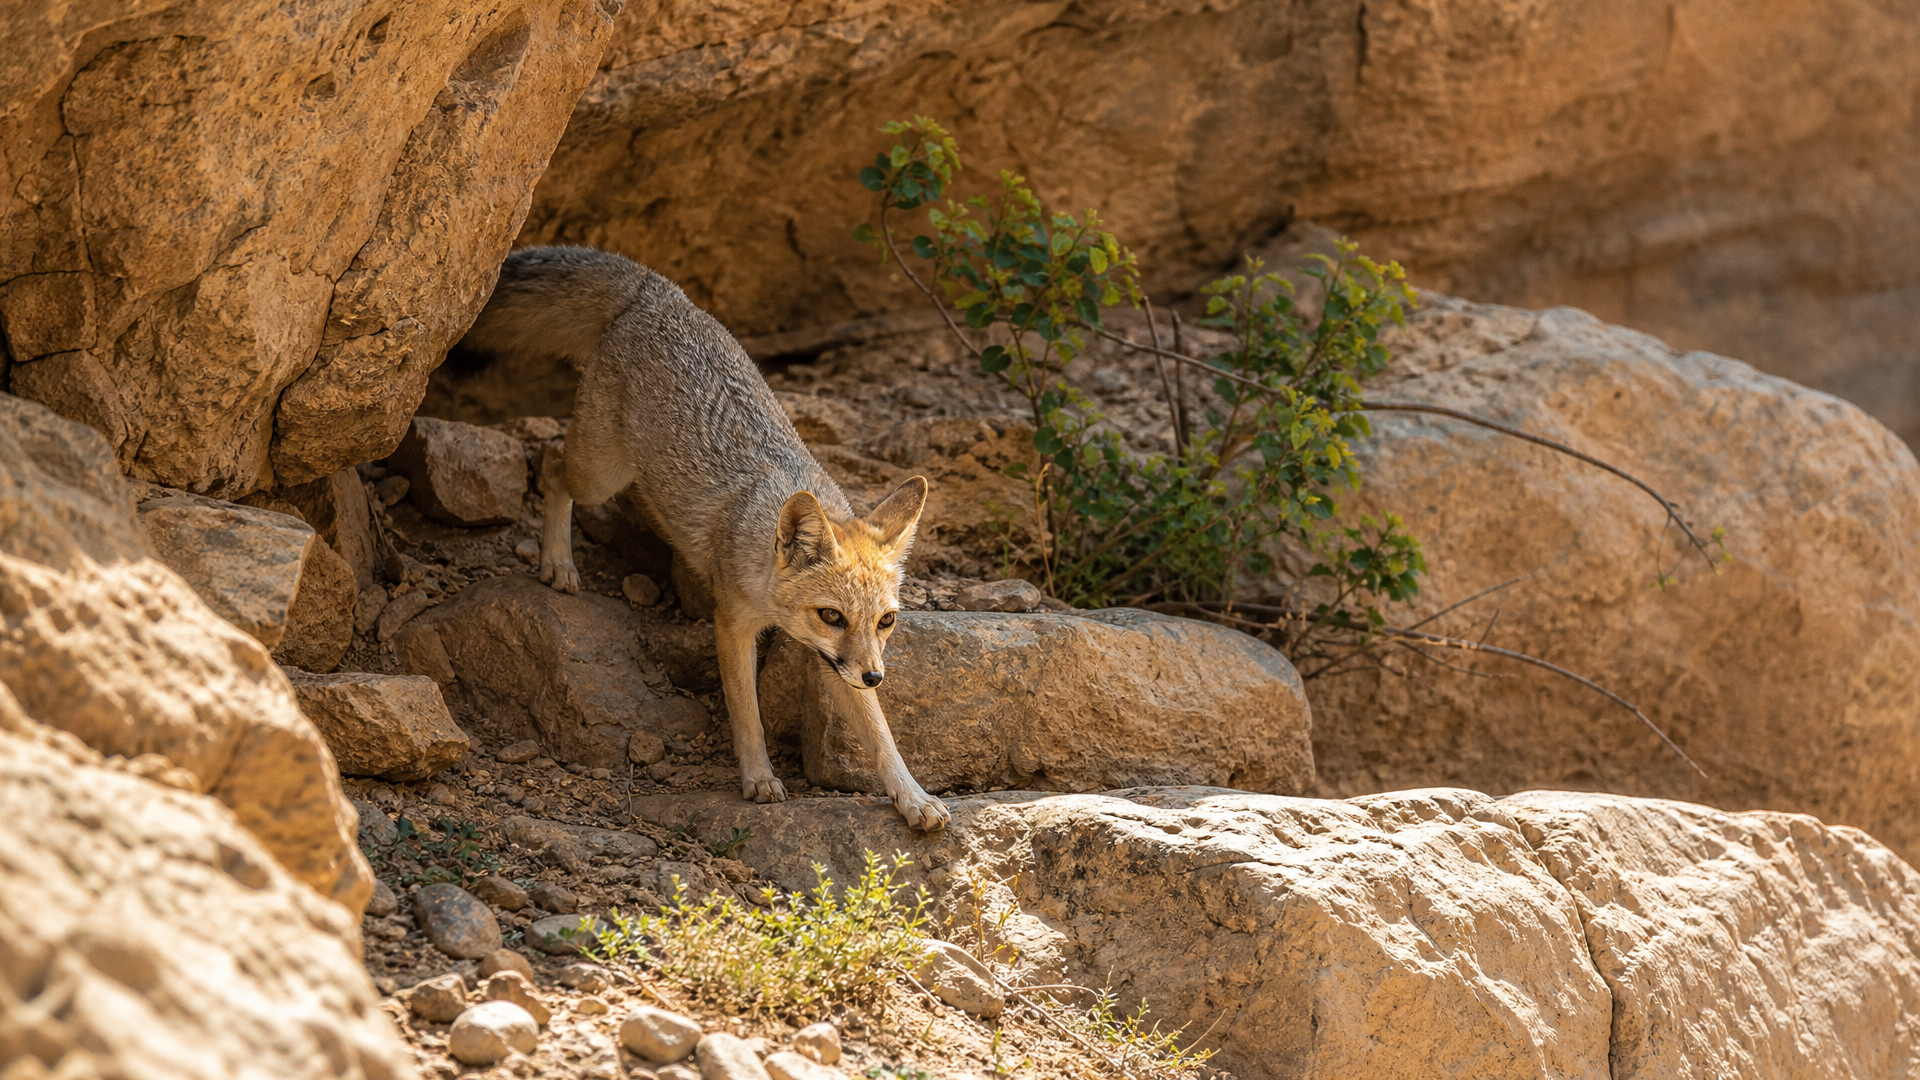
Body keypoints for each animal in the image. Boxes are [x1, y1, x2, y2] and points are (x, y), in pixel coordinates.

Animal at [452, 245, 949, 831]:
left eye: (887, 621)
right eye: (832, 615)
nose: (875, 676)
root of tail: (658, 290)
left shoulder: (836, 662)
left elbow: (880, 734)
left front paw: (913, 796)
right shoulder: (733, 626)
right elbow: (747, 714)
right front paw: (758, 779)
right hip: (601, 473)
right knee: (550, 463)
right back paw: (558, 563)